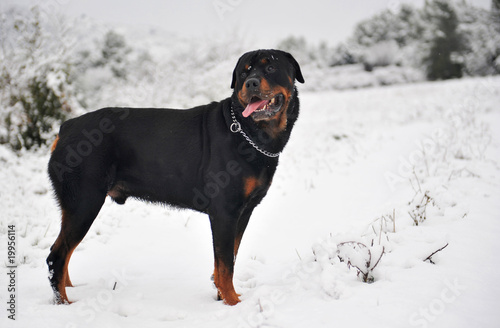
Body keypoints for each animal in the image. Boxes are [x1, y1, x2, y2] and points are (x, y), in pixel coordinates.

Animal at [47, 48, 302, 304]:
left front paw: (222, 296)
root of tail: (66, 128)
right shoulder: (225, 212)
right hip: (84, 202)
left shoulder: (243, 212)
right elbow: (225, 264)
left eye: (270, 67)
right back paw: (64, 302)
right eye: (244, 72)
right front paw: (232, 302)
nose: (251, 83)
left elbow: (229, 257)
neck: (248, 132)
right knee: (56, 256)